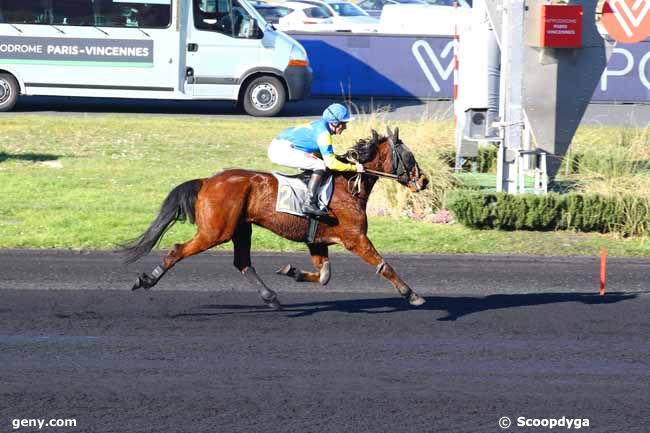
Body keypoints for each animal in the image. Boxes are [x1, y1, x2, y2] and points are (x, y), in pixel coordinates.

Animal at [124, 126, 430, 308]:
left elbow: (324, 276)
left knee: (242, 262)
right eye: (409, 156)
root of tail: (207, 181)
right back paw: (146, 280)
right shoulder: (355, 238)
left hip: (240, 229)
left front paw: (291, 271)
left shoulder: (317, 241)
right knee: (177, 250)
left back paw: (270, 297)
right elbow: (384, 266)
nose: (424, 181)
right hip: (215, 232)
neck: (347, 186)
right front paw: (412, 294)